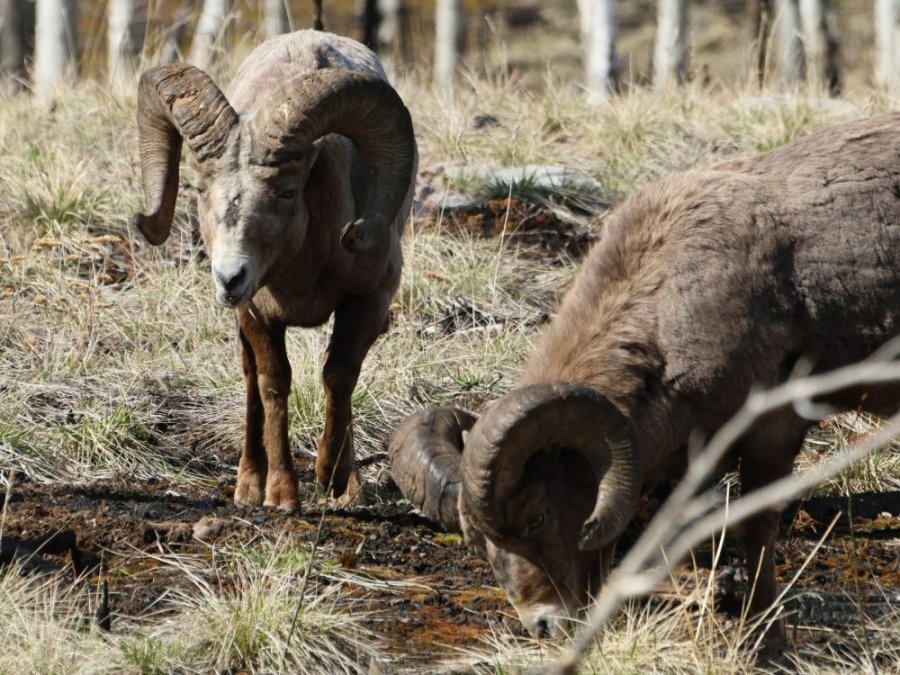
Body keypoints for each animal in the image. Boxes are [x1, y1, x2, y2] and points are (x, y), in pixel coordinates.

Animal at [133, 30, 417, 509]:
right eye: (201, 189)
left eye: (286, 192)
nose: (230, 278)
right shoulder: (258, 313)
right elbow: (273, 384)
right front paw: (281, 495)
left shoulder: (367, 302)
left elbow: (339, 375)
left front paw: (335, 479)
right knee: (251, 382)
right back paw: (249, 485)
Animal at [389, 112, 900, 643]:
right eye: (480, 543)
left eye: (537, 519)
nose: (545, 625)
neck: (671, 307)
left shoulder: (772, 431)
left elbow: (756, 534)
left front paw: (768, 641)